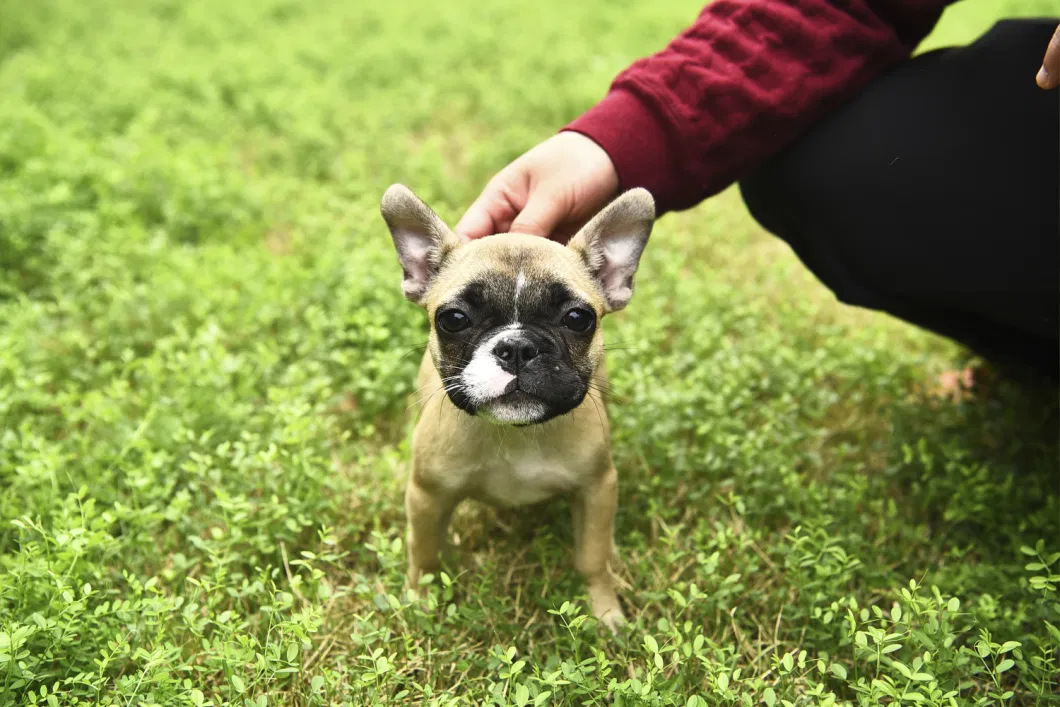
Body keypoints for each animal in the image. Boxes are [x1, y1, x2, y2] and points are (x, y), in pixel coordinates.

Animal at [381, 182, 652, 631]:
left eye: (578, 318)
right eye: (453, 319)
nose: (518, 347)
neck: (515, 435)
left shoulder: (596, 488)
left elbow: (592, 558)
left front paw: (605, 609)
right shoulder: (426, 496)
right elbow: (424, 555)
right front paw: (418, 601)